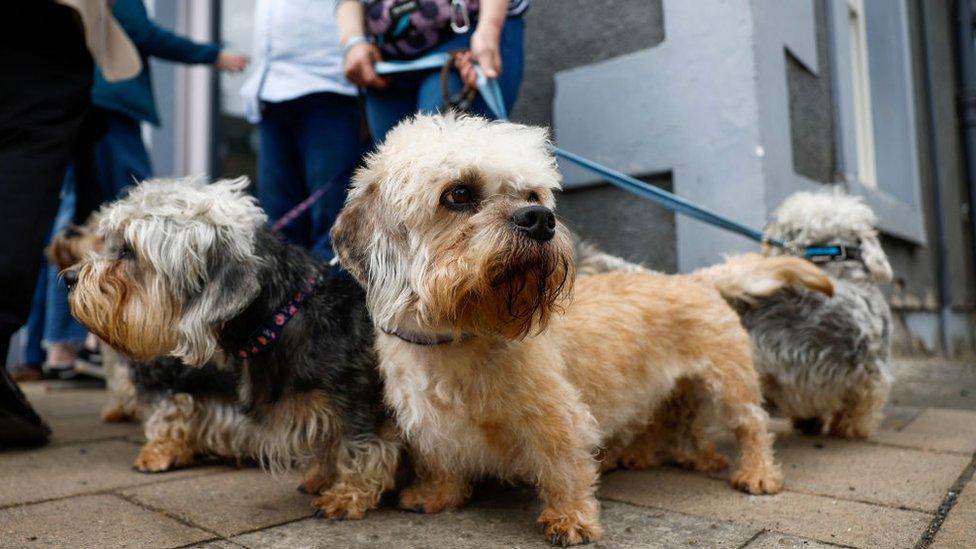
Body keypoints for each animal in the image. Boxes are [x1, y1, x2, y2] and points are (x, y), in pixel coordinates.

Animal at [330, 115, 816, 544]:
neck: (458, 335)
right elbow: (442, 462)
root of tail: (695, 280)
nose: (540, 219)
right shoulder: (430, 425)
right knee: (679, 422)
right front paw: (437, 494)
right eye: (459, 193)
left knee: (752, 426)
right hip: (678, 390)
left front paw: (571, 521)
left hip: (729, 381)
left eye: (533, 193)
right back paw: (684, 456)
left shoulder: (556, 416)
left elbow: (564, 469)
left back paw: (757, 473)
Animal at [576, 191, 896, 438]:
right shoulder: (869, 372)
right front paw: (854, 430)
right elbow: (863, 406)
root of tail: (691, 282)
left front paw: (811, 423)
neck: (844, 273)